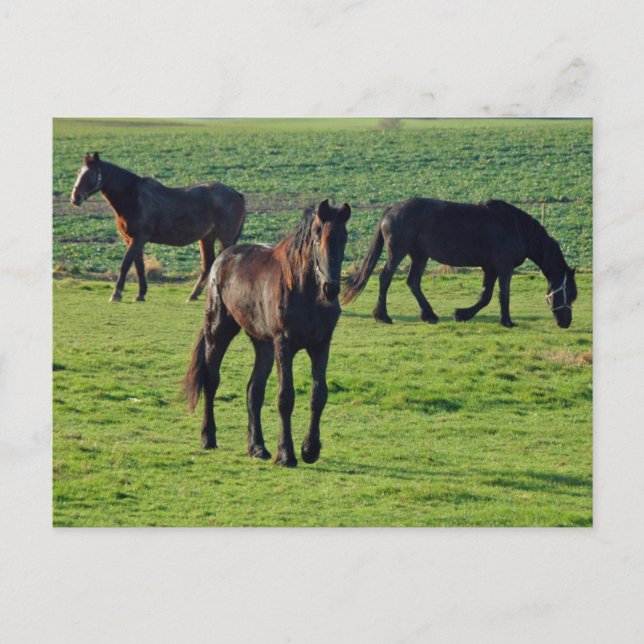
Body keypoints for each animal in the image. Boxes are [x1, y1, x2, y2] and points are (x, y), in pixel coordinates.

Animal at [70, 152, 246, 302]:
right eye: (79, 172)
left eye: (91, 174)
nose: (75, 198)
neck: (133, 196)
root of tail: (236, 194)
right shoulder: (132, 240)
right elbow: (139, 266)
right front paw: (140, 294)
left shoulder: (138, 239)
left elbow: (125, 264)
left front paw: (116, 294)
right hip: (206, 238)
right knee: (208, 265)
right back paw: (193, 295)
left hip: (225, 238)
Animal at [184, 199, 351, 467]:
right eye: (317, 236)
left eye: (344, 237)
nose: (331, 288)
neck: (305, 291)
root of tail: (222, 259)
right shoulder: (284, 345)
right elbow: (285, 397)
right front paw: (286, 454)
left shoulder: (321, 345)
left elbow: (318, 394)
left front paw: (310, 449)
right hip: (218, 332)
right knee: (211, 381)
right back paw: (208, 438)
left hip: (263, 345)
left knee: (254, 390)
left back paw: (257, 448)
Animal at [342, 198, 577, 328]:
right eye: (570, 294)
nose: (565, 323)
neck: (515, 227)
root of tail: (391, 209)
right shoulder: (503, 267)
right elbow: (503, 295)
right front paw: (507, 322)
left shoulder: (490, 268)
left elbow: (485, 296)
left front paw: (461, 314)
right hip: (397, 252)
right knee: (385, 278)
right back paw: (383, 316)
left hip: (419, 255)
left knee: (413, 282)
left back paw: (429, 315)